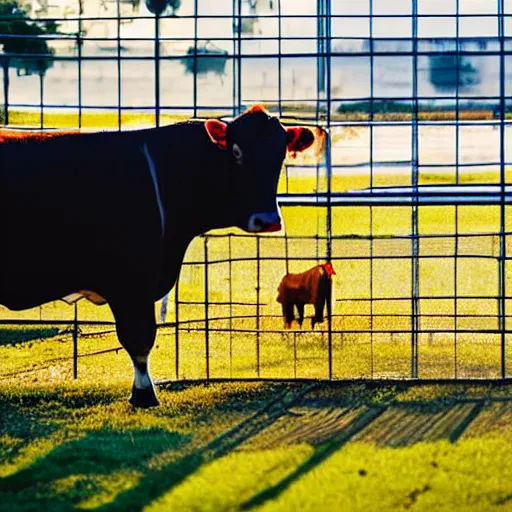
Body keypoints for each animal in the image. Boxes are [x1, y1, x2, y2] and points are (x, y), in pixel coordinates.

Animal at [1, 106, 316, 406]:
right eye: (236, 152)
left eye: (280, 155)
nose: (268, 220)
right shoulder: (132, 280)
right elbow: (139, 339)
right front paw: (144, 393)